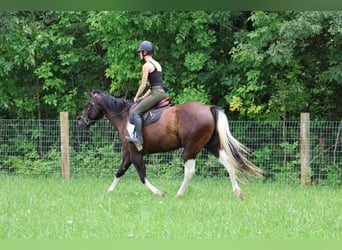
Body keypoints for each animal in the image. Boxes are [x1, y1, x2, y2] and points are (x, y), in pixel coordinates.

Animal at [79, 90, 264, 199]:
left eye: (88, 105)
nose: (81, 123)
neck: (124, 117)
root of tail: (208, 108)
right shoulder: (128, 153)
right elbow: (120, 172)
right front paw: (109, 191)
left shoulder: (136, 153)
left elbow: (142, 176)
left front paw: (160, 192)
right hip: (211, 145)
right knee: (228, 163)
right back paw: (238, 192)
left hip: (190, 148)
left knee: (189, 171)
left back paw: (179, 194)